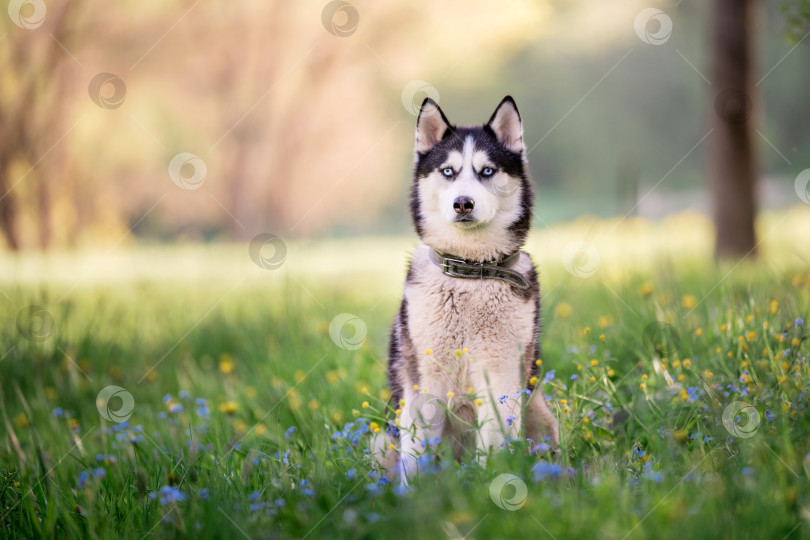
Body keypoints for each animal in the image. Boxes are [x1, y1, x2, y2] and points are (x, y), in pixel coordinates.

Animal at [386, 96, 556, 476]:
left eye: (487, 171)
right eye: (448, 171)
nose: (463, 203)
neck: (469, 272)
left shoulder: (501, 373)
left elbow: (494, 441)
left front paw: (490, 481)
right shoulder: (425, 382)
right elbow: (417, 455)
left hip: (541, 413)